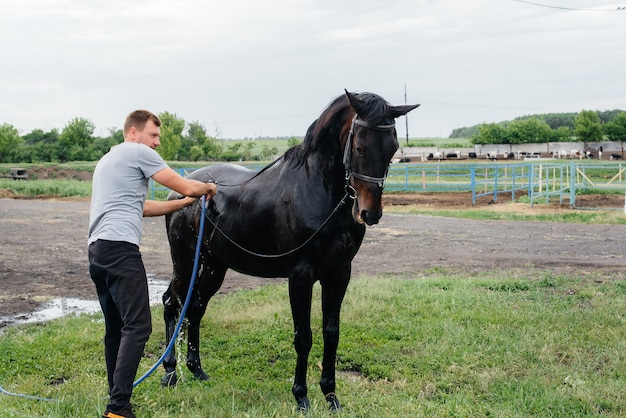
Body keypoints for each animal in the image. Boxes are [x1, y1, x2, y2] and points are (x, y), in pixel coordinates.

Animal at [160, 90, 420, 410]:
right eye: (359, 146)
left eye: (393, 148)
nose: (369, 213)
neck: (317, 191)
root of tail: (179, 190)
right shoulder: (300, 276)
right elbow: (303, 336)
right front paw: (302, 397)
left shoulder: (339, 274)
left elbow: (331, 333)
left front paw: (331, 396)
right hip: (185, 262)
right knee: (172, 303)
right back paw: (170, 372)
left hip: (213, 266)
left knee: (195, 308)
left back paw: (197, 370)